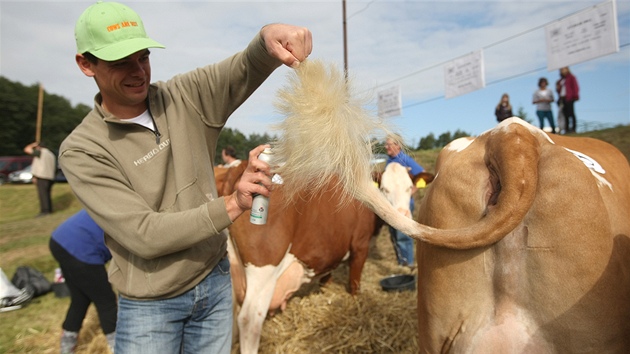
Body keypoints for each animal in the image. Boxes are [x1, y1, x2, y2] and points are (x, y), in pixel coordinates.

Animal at [218, 162, 376, 352]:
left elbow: (327, 277)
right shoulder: (361, 244)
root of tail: (239, 166)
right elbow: (355, 282)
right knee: (249, 320)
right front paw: (355, 302)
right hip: (263, 270)